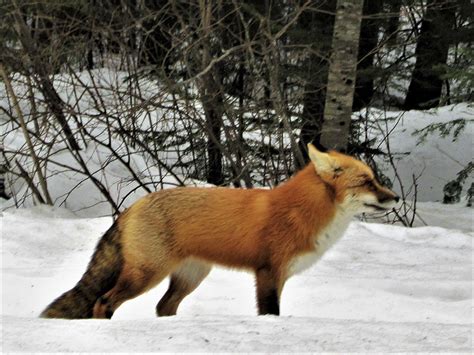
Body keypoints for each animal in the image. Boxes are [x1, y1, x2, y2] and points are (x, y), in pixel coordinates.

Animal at [40, 145, 398, 320]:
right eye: (367, 182)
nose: (395, 198)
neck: (302, 212)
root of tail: (131, 207)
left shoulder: (278, 276)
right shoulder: (268, 272)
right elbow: (270, 312)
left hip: (190, 277)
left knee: (163, 308)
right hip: (146, 275)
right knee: (103, 302)